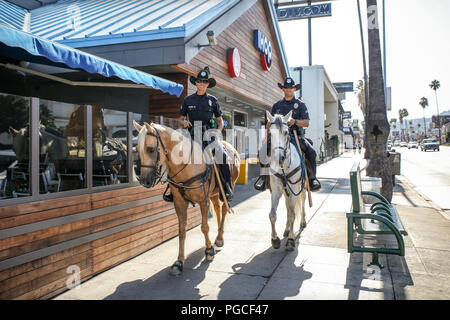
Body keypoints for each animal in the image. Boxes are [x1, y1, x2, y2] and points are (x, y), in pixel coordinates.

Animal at [133, 121, 241, 276]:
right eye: (137, 149)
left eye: (151, 149)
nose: (144, 181)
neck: (186, 165)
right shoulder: (179, 203)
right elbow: (182, 231)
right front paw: (179, 262)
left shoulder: (203, 201)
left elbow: (204, 227)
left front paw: (209, 251)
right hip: (213, 194)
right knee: (218, 209)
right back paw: (218, 237)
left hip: (227, 188)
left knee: (225, 208)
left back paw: (220, 238)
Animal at [266, 111, 308, 251]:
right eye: (270, 133)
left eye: (285, 132)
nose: (279, 158)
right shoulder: (276, 190)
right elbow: (272, 215)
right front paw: (275, 240)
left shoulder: (295, 189)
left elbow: (292, 215)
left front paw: (290, 240)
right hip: (286, 192)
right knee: (288, 206)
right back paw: (287, 229)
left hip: (302, 187)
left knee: (302, 200)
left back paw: (302, 223)